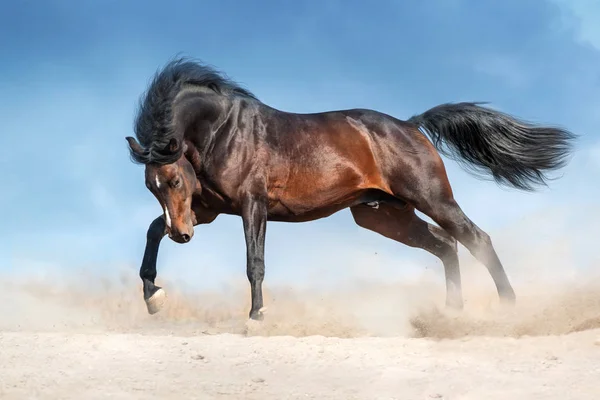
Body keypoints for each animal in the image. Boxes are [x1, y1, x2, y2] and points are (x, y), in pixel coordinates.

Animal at [125, 57, 576, 324]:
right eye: (151, 186)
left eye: (175, 180)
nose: (183, 236)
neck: (224, 130)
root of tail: (410, 125)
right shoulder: (208, 209)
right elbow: (152, 230)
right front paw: (153, 296)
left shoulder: (252, 205)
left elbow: (255, 262)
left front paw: (256, 316)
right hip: (386, 215)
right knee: (446, 245)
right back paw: (451, 312)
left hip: (432, 199)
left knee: (475, 238)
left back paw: (508, 307)